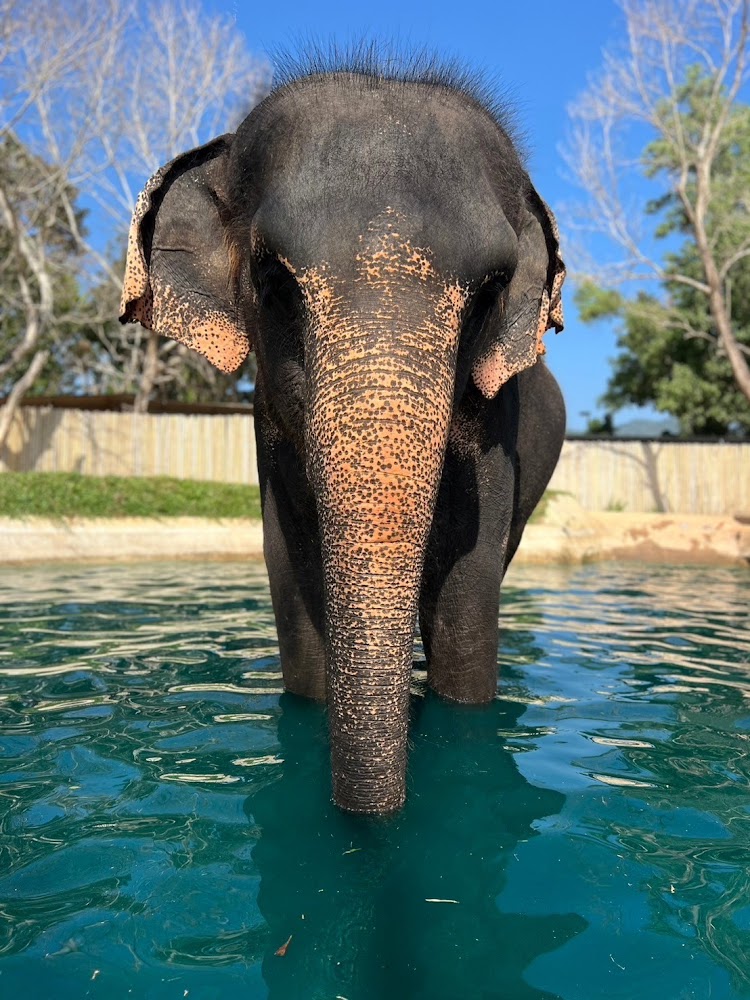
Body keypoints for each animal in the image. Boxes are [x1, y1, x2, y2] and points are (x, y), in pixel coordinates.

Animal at [119, 57, 566, 816]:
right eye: (271, 278)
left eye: (491, 290)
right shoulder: (268, 427)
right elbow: (292, 579)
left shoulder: (496, 425)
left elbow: (466, 604)